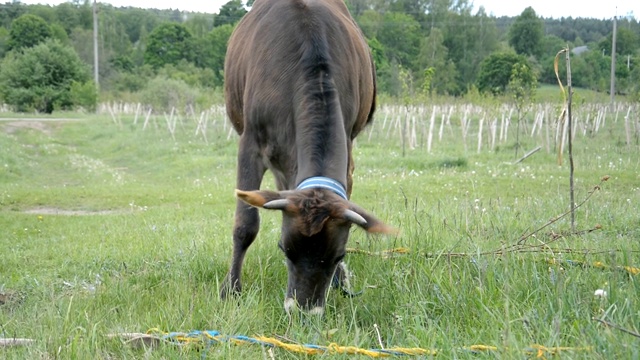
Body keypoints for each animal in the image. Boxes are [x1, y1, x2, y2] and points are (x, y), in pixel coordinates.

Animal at [220, 0, 392, 316]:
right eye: (285, 249)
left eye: (339, 255)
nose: (303, 311)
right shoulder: (250, 143)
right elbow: (245, 225)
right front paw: (231, 291)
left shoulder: (347, 145)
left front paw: (340, 280)